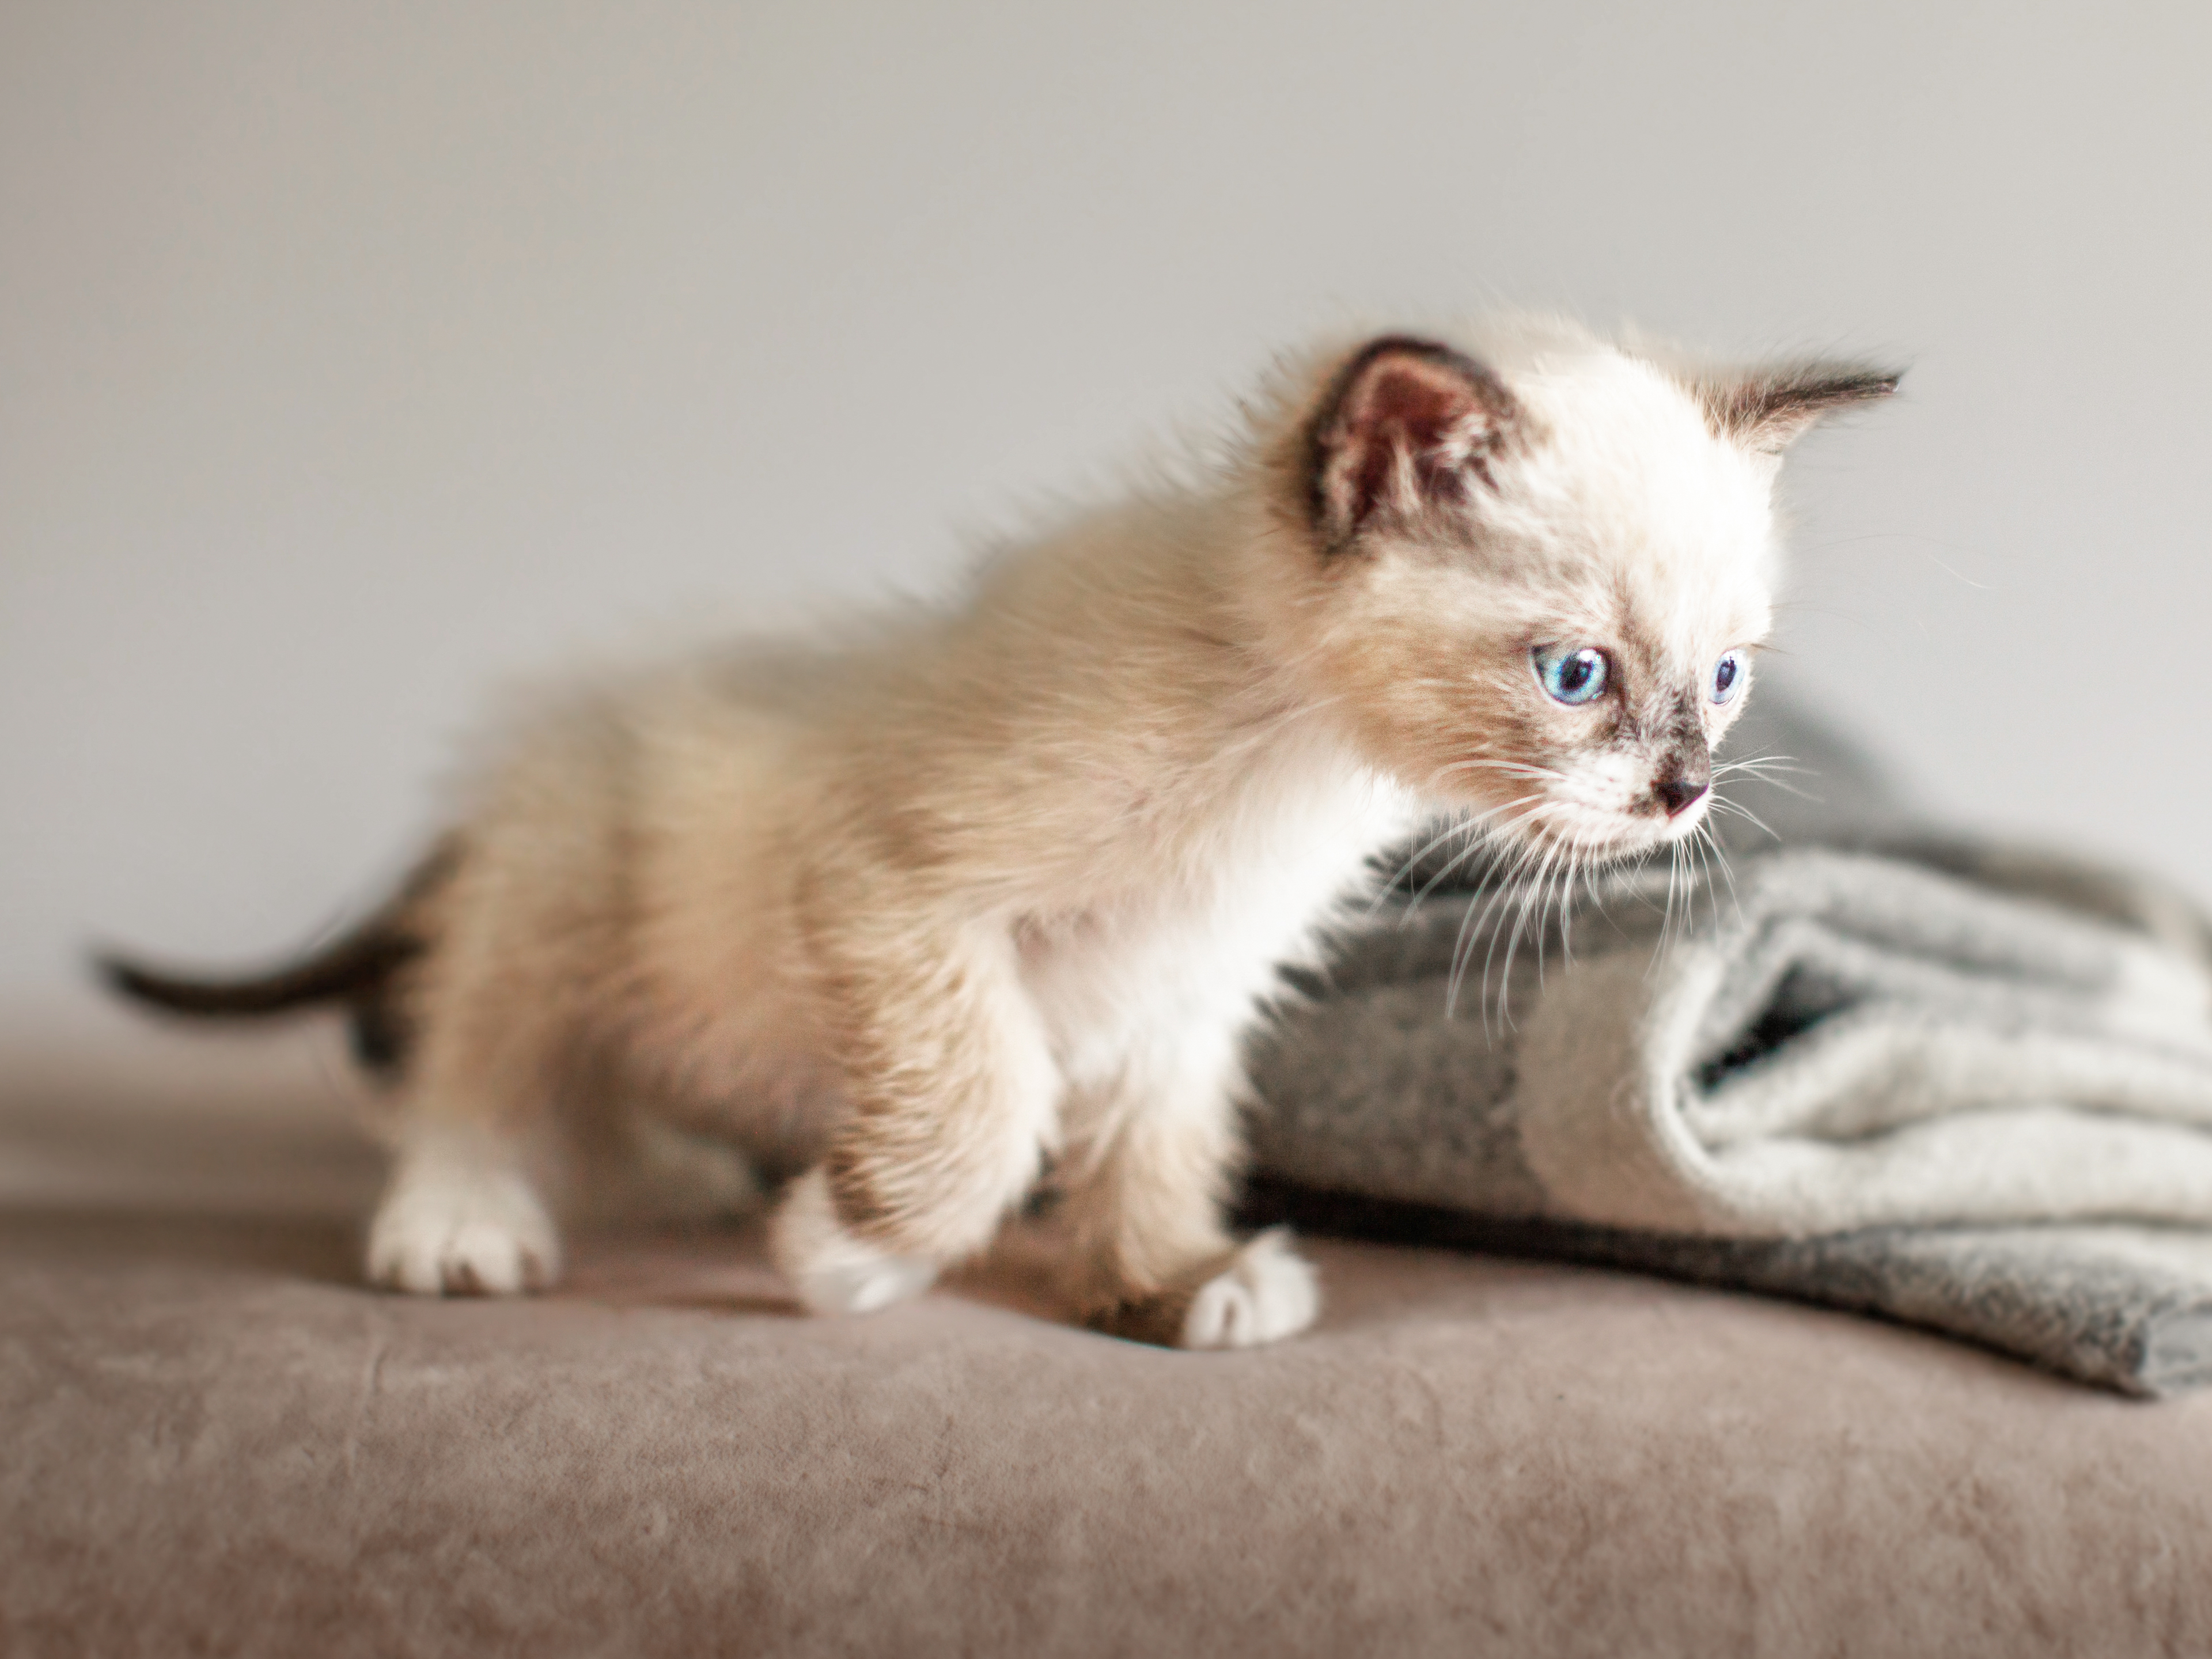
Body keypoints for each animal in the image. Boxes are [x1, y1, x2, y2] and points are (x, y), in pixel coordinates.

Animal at [104, 320, 1893, 1354]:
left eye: (1724, 679)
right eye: (1575, 674)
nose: (1682, 792)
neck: (1281, 754)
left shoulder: (1187, 989)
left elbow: (1154, 1137)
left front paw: (1167, 1279)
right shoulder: (893, 885)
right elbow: (995, 1097)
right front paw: (851, 1251)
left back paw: (675, 1172)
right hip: (557, 887)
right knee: (469, 1058)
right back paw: (469, 1219)